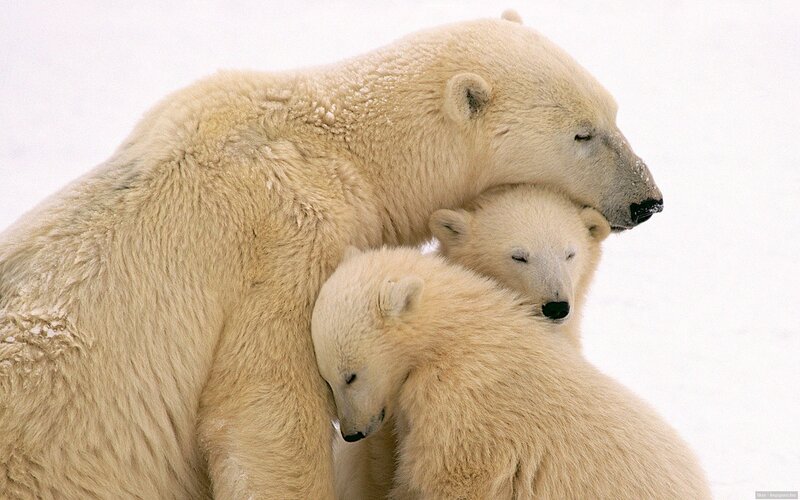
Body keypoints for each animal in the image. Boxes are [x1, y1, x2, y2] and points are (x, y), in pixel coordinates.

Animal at [313, 247, 710, 500]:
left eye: (350, 375)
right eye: (326, 379)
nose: (351, 433)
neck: (455, 336)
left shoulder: (465, 407)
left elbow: (449, 478)